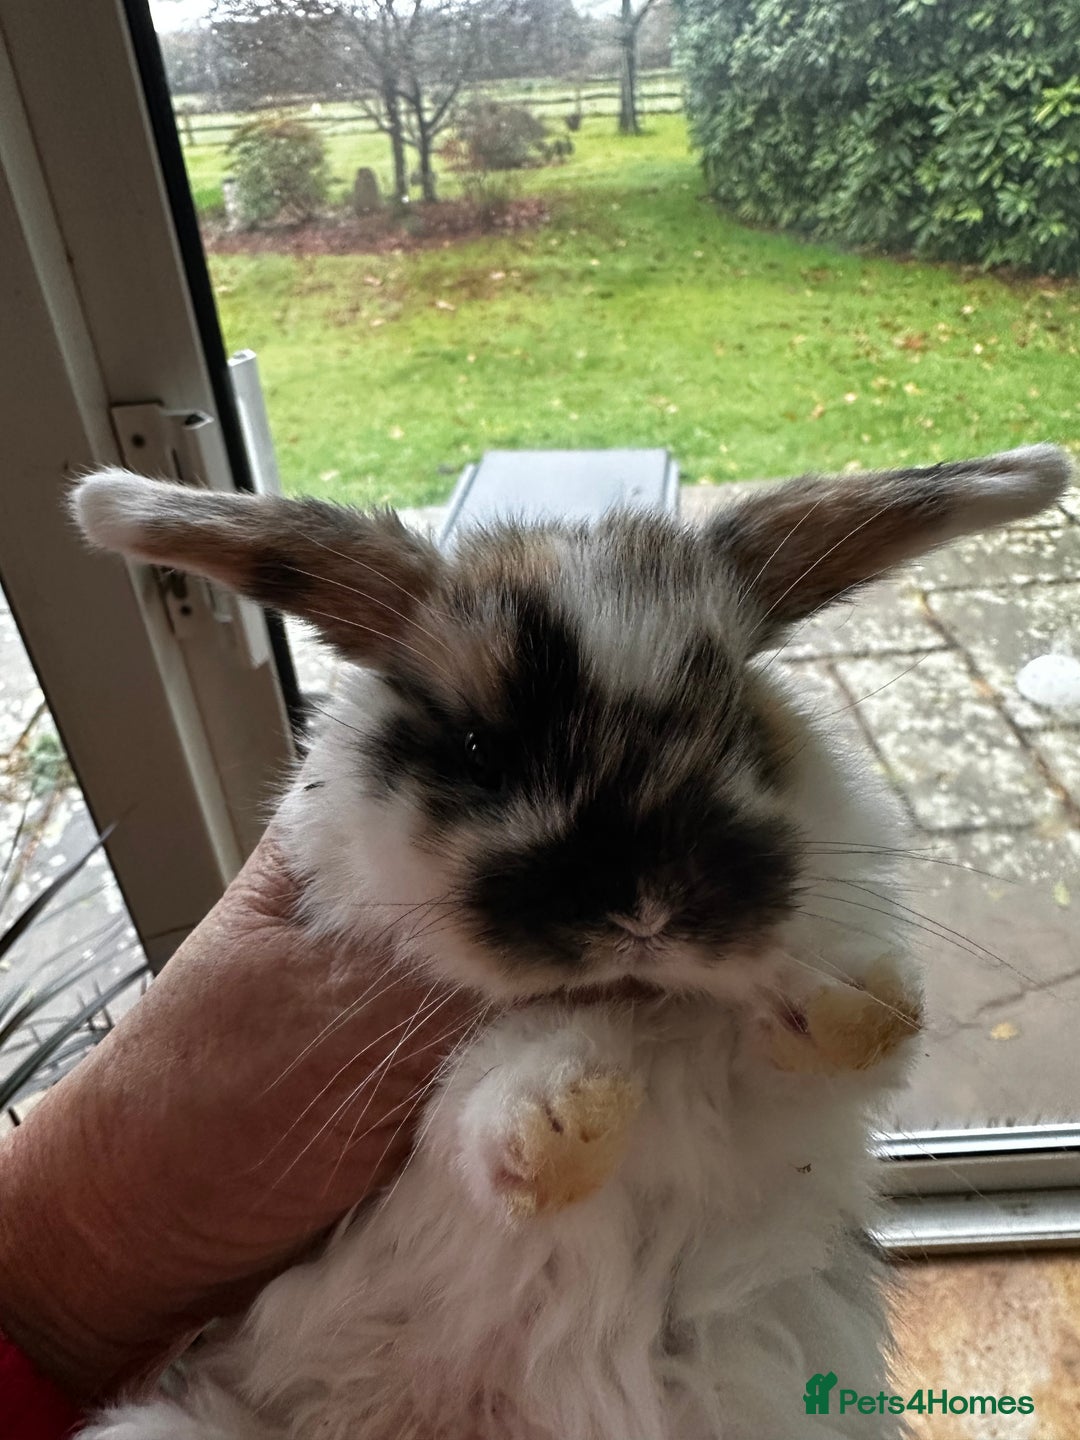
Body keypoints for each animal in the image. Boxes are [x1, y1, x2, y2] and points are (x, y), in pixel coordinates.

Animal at [71, 444, 1071, 1440]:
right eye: (480, 749)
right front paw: (566, 1118)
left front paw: (851, 1001)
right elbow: (480, 1098)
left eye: (737, 721)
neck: (639, 1003)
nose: (647, 910)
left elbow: (831, 1049)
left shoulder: (789, 1103)